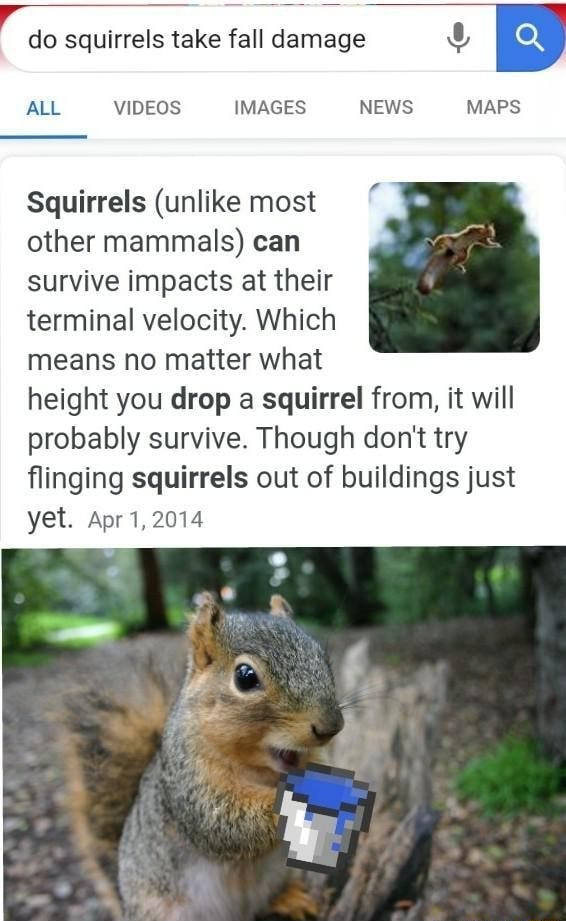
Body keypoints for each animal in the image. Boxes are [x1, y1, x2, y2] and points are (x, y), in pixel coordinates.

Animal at [61, 593, 344, 921]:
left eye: (322, 658)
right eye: (245, 677)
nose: (331, 726)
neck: (263, 773)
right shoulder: (188, 783)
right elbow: (222, 822)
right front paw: (294, 802)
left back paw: (291, 898)